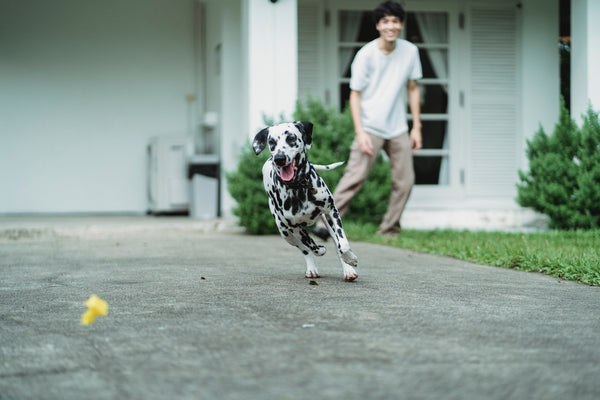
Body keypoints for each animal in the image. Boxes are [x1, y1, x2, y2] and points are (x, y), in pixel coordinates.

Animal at [252, 122, 358, 282]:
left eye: (291, 138)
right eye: (271, 142)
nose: (279, 158)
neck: (299, 187)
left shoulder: (332, 212)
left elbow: (343, 244)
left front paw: (350, 259)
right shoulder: (295, 227)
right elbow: (310, 245)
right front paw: (319, 249)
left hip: (326, 222)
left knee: (336, 243)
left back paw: (348, 269)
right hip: (285, 232)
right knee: (304, 249)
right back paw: (312, 268)